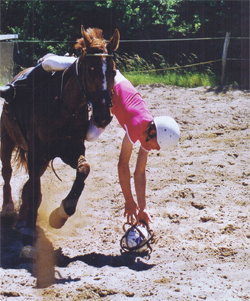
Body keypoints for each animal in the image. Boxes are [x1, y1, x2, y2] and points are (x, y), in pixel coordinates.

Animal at [0, 27, 120, 250]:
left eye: (113, 72)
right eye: (90, 71)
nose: (103, 116)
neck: (62, 106)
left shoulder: (71, 150)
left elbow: (83, 170)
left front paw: (61, 214)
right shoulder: (36, 152)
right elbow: (34, 189)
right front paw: (29, 233)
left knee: (28, 184)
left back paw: (22, 219)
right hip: (7, 140)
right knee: (7, 173)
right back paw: (9, 209)